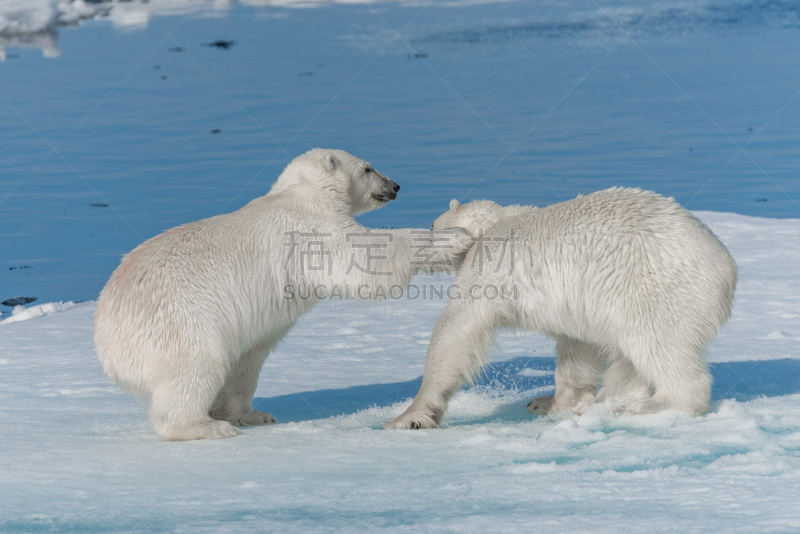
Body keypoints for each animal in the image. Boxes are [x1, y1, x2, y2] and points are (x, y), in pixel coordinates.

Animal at [94, 149, 472, 442]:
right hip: (179, 323)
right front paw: (455, 236)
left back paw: (251, 414)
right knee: (196, 368)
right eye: (367, 167)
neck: (302, 194)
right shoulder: (310, 231)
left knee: (246, 361)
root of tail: (108, 349)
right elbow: (363, 258)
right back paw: (208, 426)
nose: (394, 186)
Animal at [388, 188, 736, 432]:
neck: (494, 225)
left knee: (656, 345)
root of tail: (726, 269)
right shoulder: (580, 298)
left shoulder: (491, 266)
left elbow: (458, 329)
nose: (419, 253)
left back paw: (647, 406)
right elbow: (578, 346)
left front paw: (408, 417)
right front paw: (550, 402)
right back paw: (603, 402)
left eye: (431, 226)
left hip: (651, 290)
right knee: (627, 358)